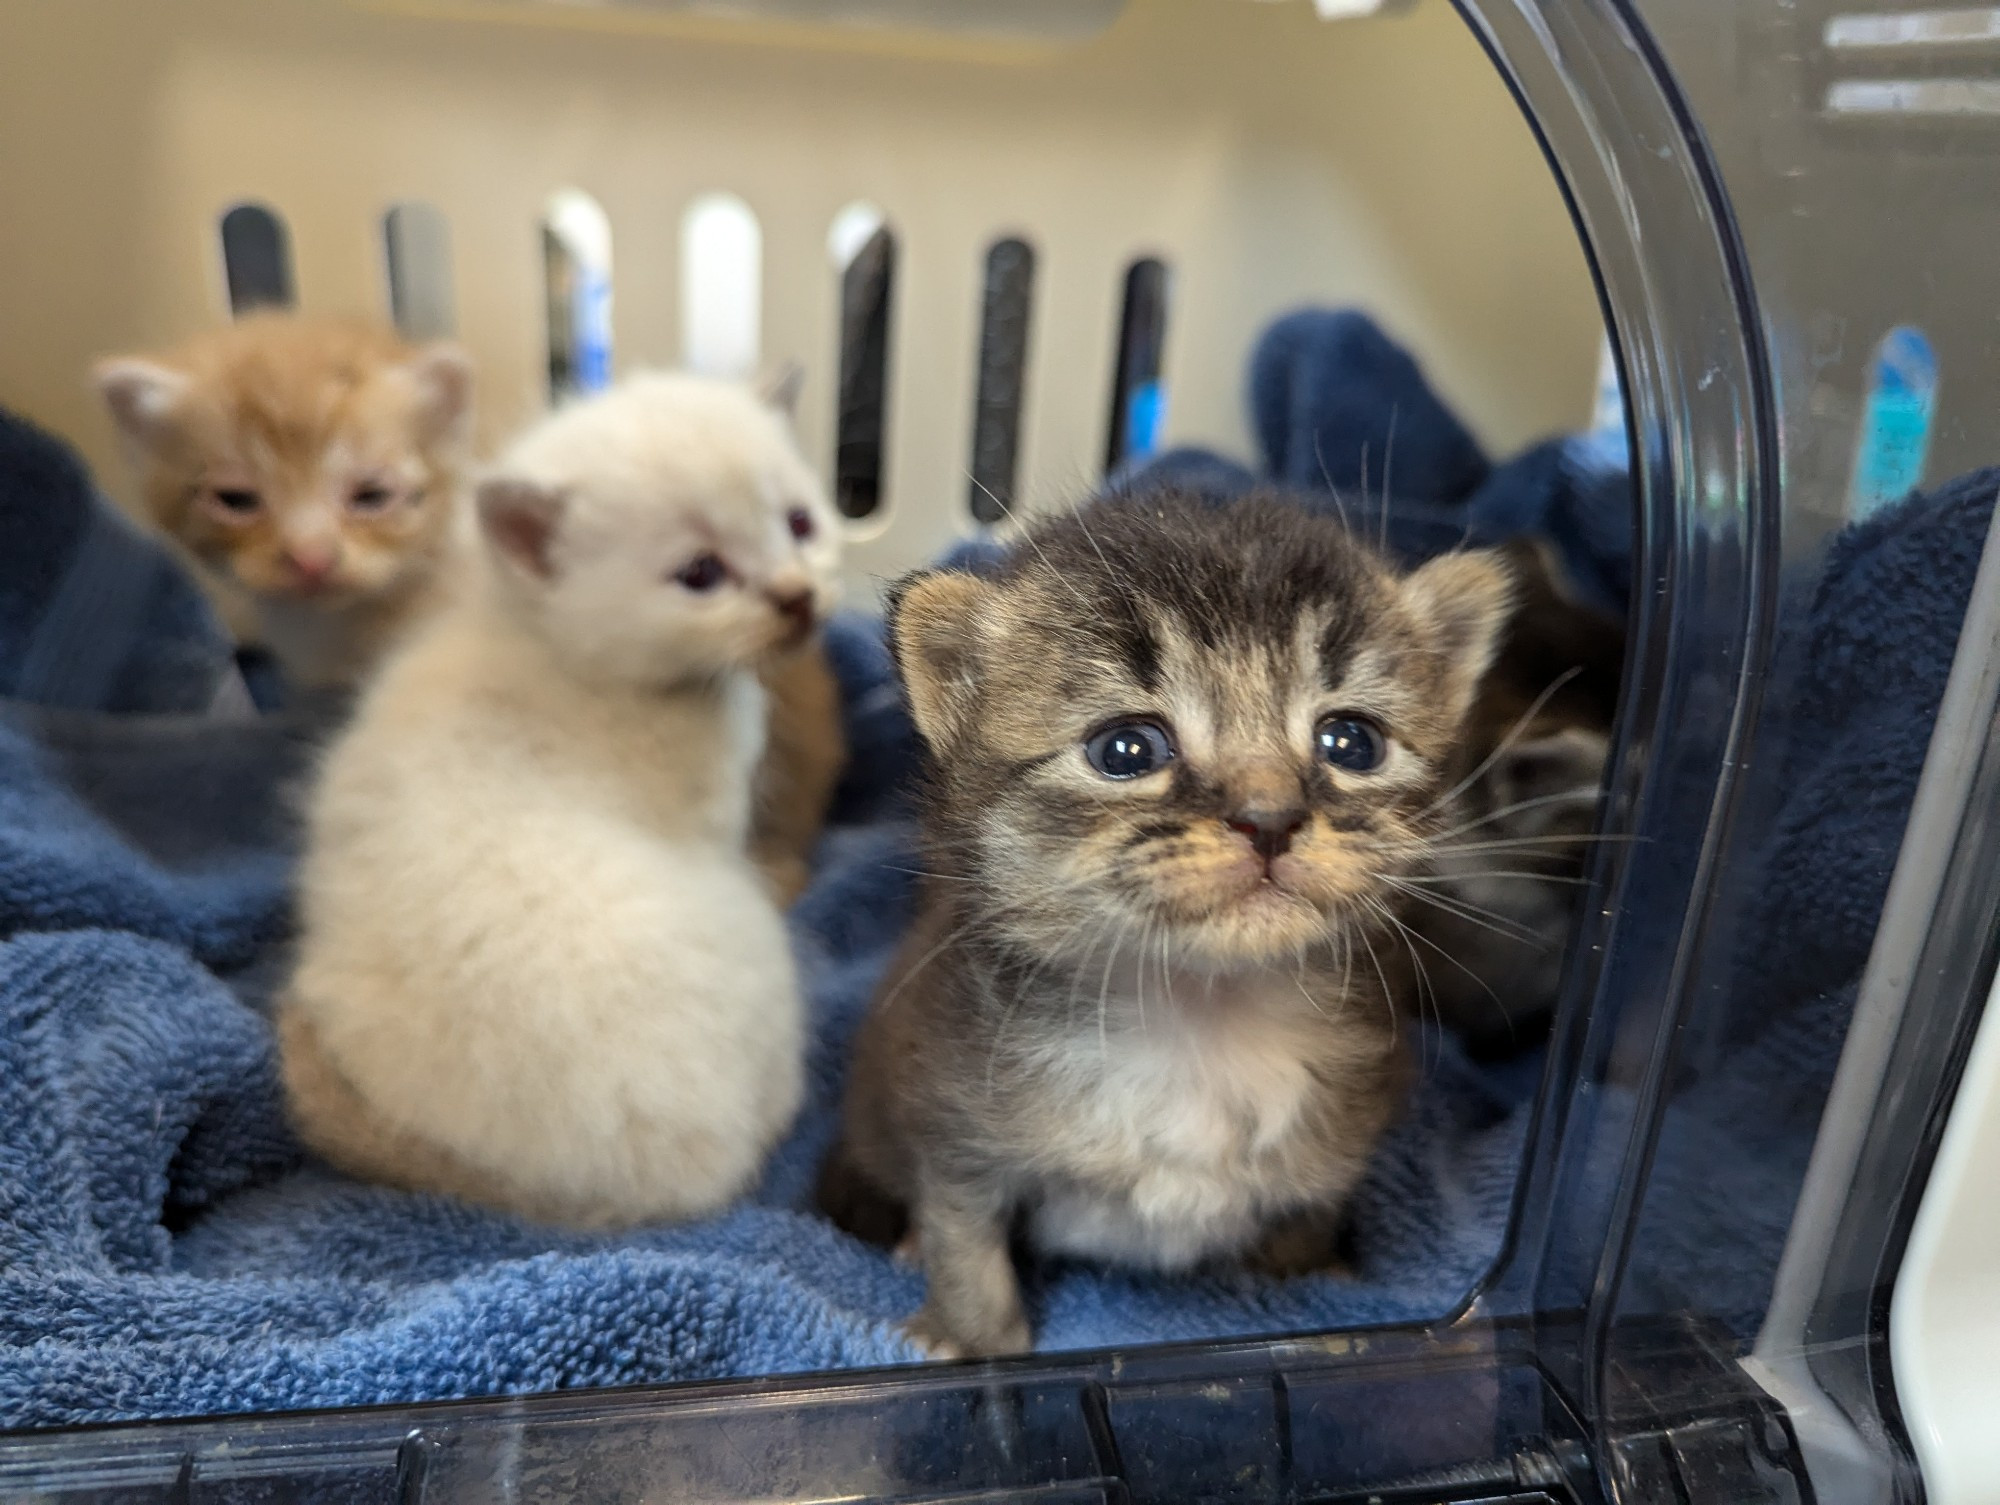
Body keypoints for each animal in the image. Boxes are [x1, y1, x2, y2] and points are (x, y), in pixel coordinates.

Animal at [820, 490, 1504, 1352]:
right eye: (1126, 749)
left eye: (1351, 740)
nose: (1270, 817)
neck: (1201, 1015)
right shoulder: (954, 1125)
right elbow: (965, 1242)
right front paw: (970, 1339)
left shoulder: (1339, 1147)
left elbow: (1303, 1225)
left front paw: (1311, 1293)